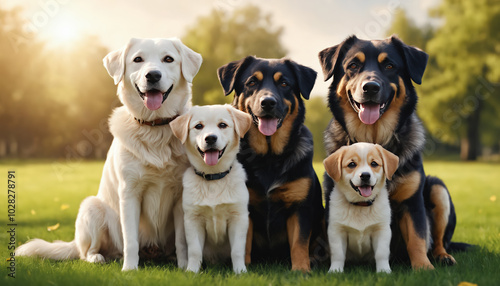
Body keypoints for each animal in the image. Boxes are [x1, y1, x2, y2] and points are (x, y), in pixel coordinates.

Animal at [16, 37, 202, 270]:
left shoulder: (180, 197)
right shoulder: (130, 193)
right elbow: (131, 239)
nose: (152, 75)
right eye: (138, 59)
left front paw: (184, 267)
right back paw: (99, 258)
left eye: (168, 59)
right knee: (88, 252)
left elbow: (182, 240)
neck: (154, 127)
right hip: (92, 208)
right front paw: (130, 269)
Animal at [170, 104, 252, 274]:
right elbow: (194, 250)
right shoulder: (193, 219)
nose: (210, 138)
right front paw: (191, 272)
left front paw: (240, 272)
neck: (213, 178)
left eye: (222, 125)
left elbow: (237, 250)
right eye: (198, 126)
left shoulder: (238, 217)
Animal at [218, 56, 324, 272]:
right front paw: (245, 267)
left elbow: (299, 242)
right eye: (251, 82)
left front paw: (301, 269)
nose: (268, 102)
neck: (269, 158)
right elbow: (244, 241)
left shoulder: (300, 208)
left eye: (284, 83)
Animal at [324, 142, 398, 272]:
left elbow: (381, 253)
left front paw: (384, 271)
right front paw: (335, 271)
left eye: (374, 163)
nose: (365, 176)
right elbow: (338, 254)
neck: (360, 204)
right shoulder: (337, 230)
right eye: (352, 164)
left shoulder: (381, 230)